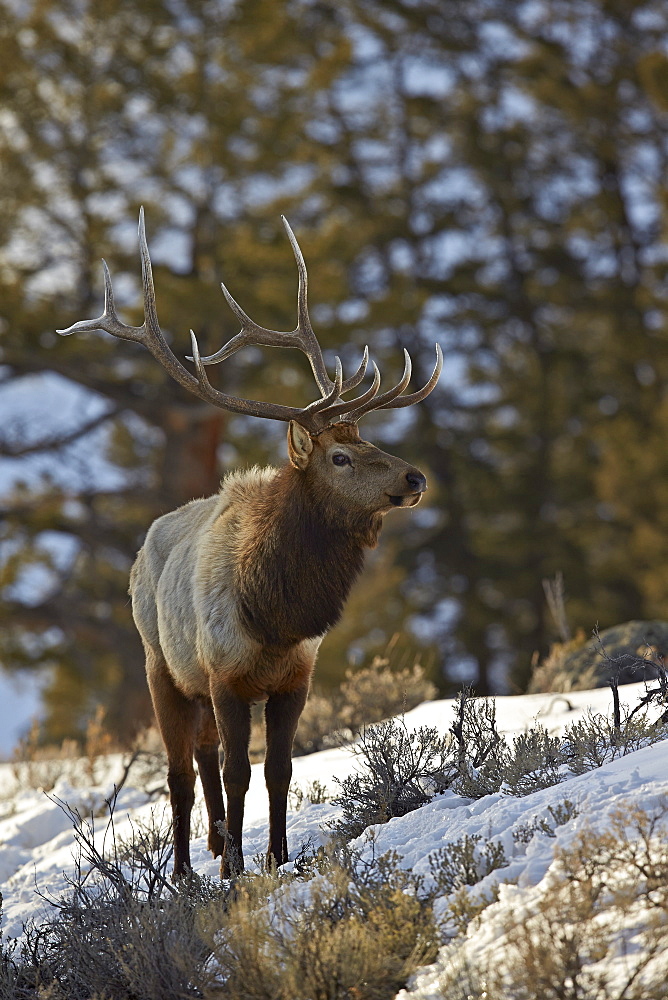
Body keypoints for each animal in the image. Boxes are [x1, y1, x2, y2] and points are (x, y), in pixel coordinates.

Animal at [58, 211, 444, 876]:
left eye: (370, 442)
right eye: (340, 457)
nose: (415, 478)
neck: (275, 615)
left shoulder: (295, 678)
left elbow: (279, 769)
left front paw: (275, 857)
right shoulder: (226, 675)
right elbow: (239, 771)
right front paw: (238, 870)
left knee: (205, 756)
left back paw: (216, 843)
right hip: (162, 666)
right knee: (183, 771)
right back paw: (189, 868)